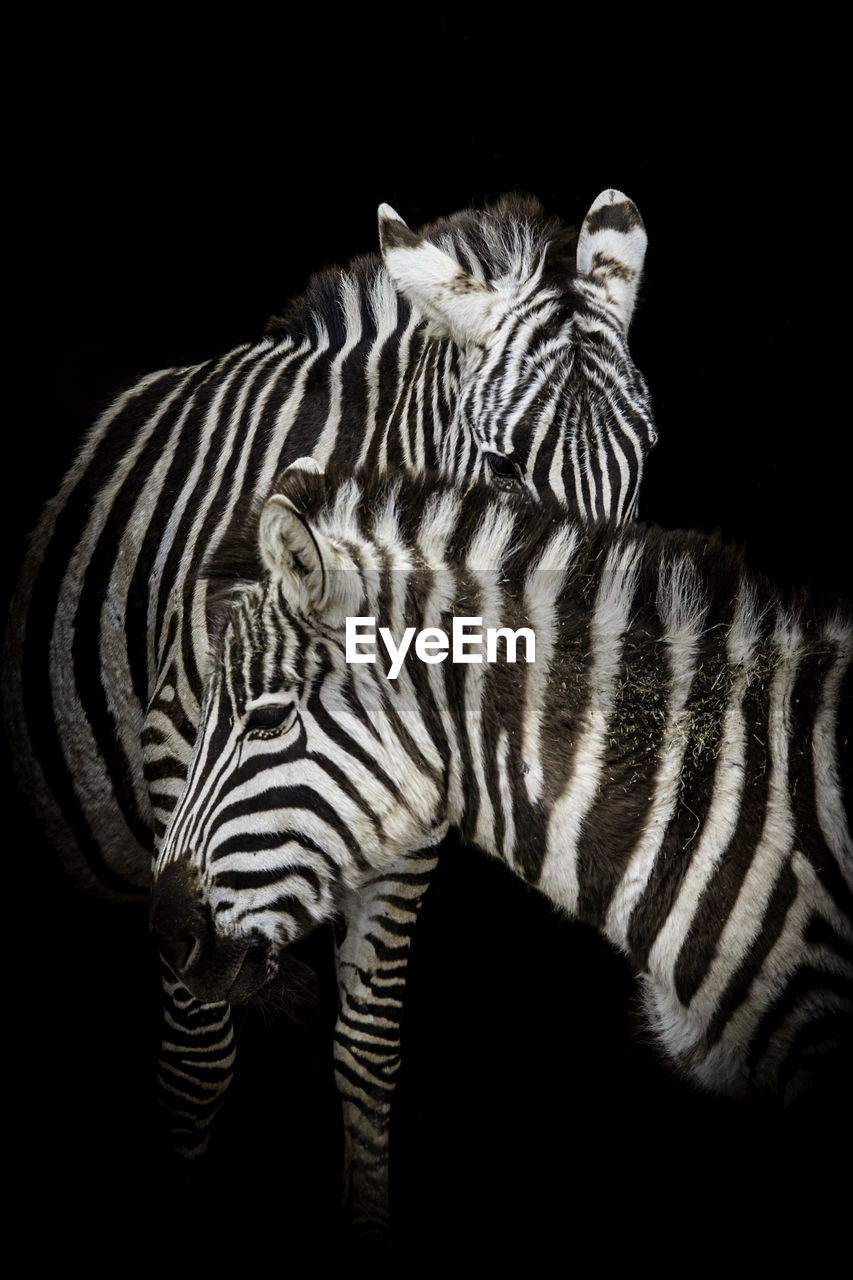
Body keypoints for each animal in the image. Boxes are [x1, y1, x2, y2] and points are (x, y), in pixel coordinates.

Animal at [0, 192, 653, 1228]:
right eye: (503, 470)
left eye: (640, 466)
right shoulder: (178, 772)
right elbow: (195, 1065)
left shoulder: (411, 825)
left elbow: (368, 1052)